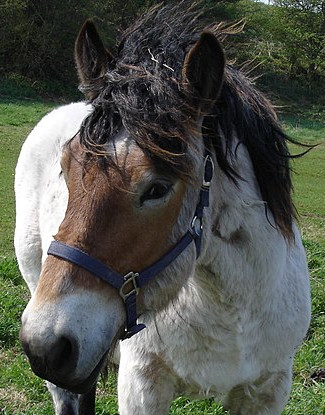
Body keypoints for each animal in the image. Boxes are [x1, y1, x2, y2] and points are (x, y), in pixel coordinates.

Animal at [15, 1, 308, 414]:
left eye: (157, 188)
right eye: (66, 168)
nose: (46, 343)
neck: (232, 313)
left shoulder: (269, 390)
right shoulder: (142, 387)